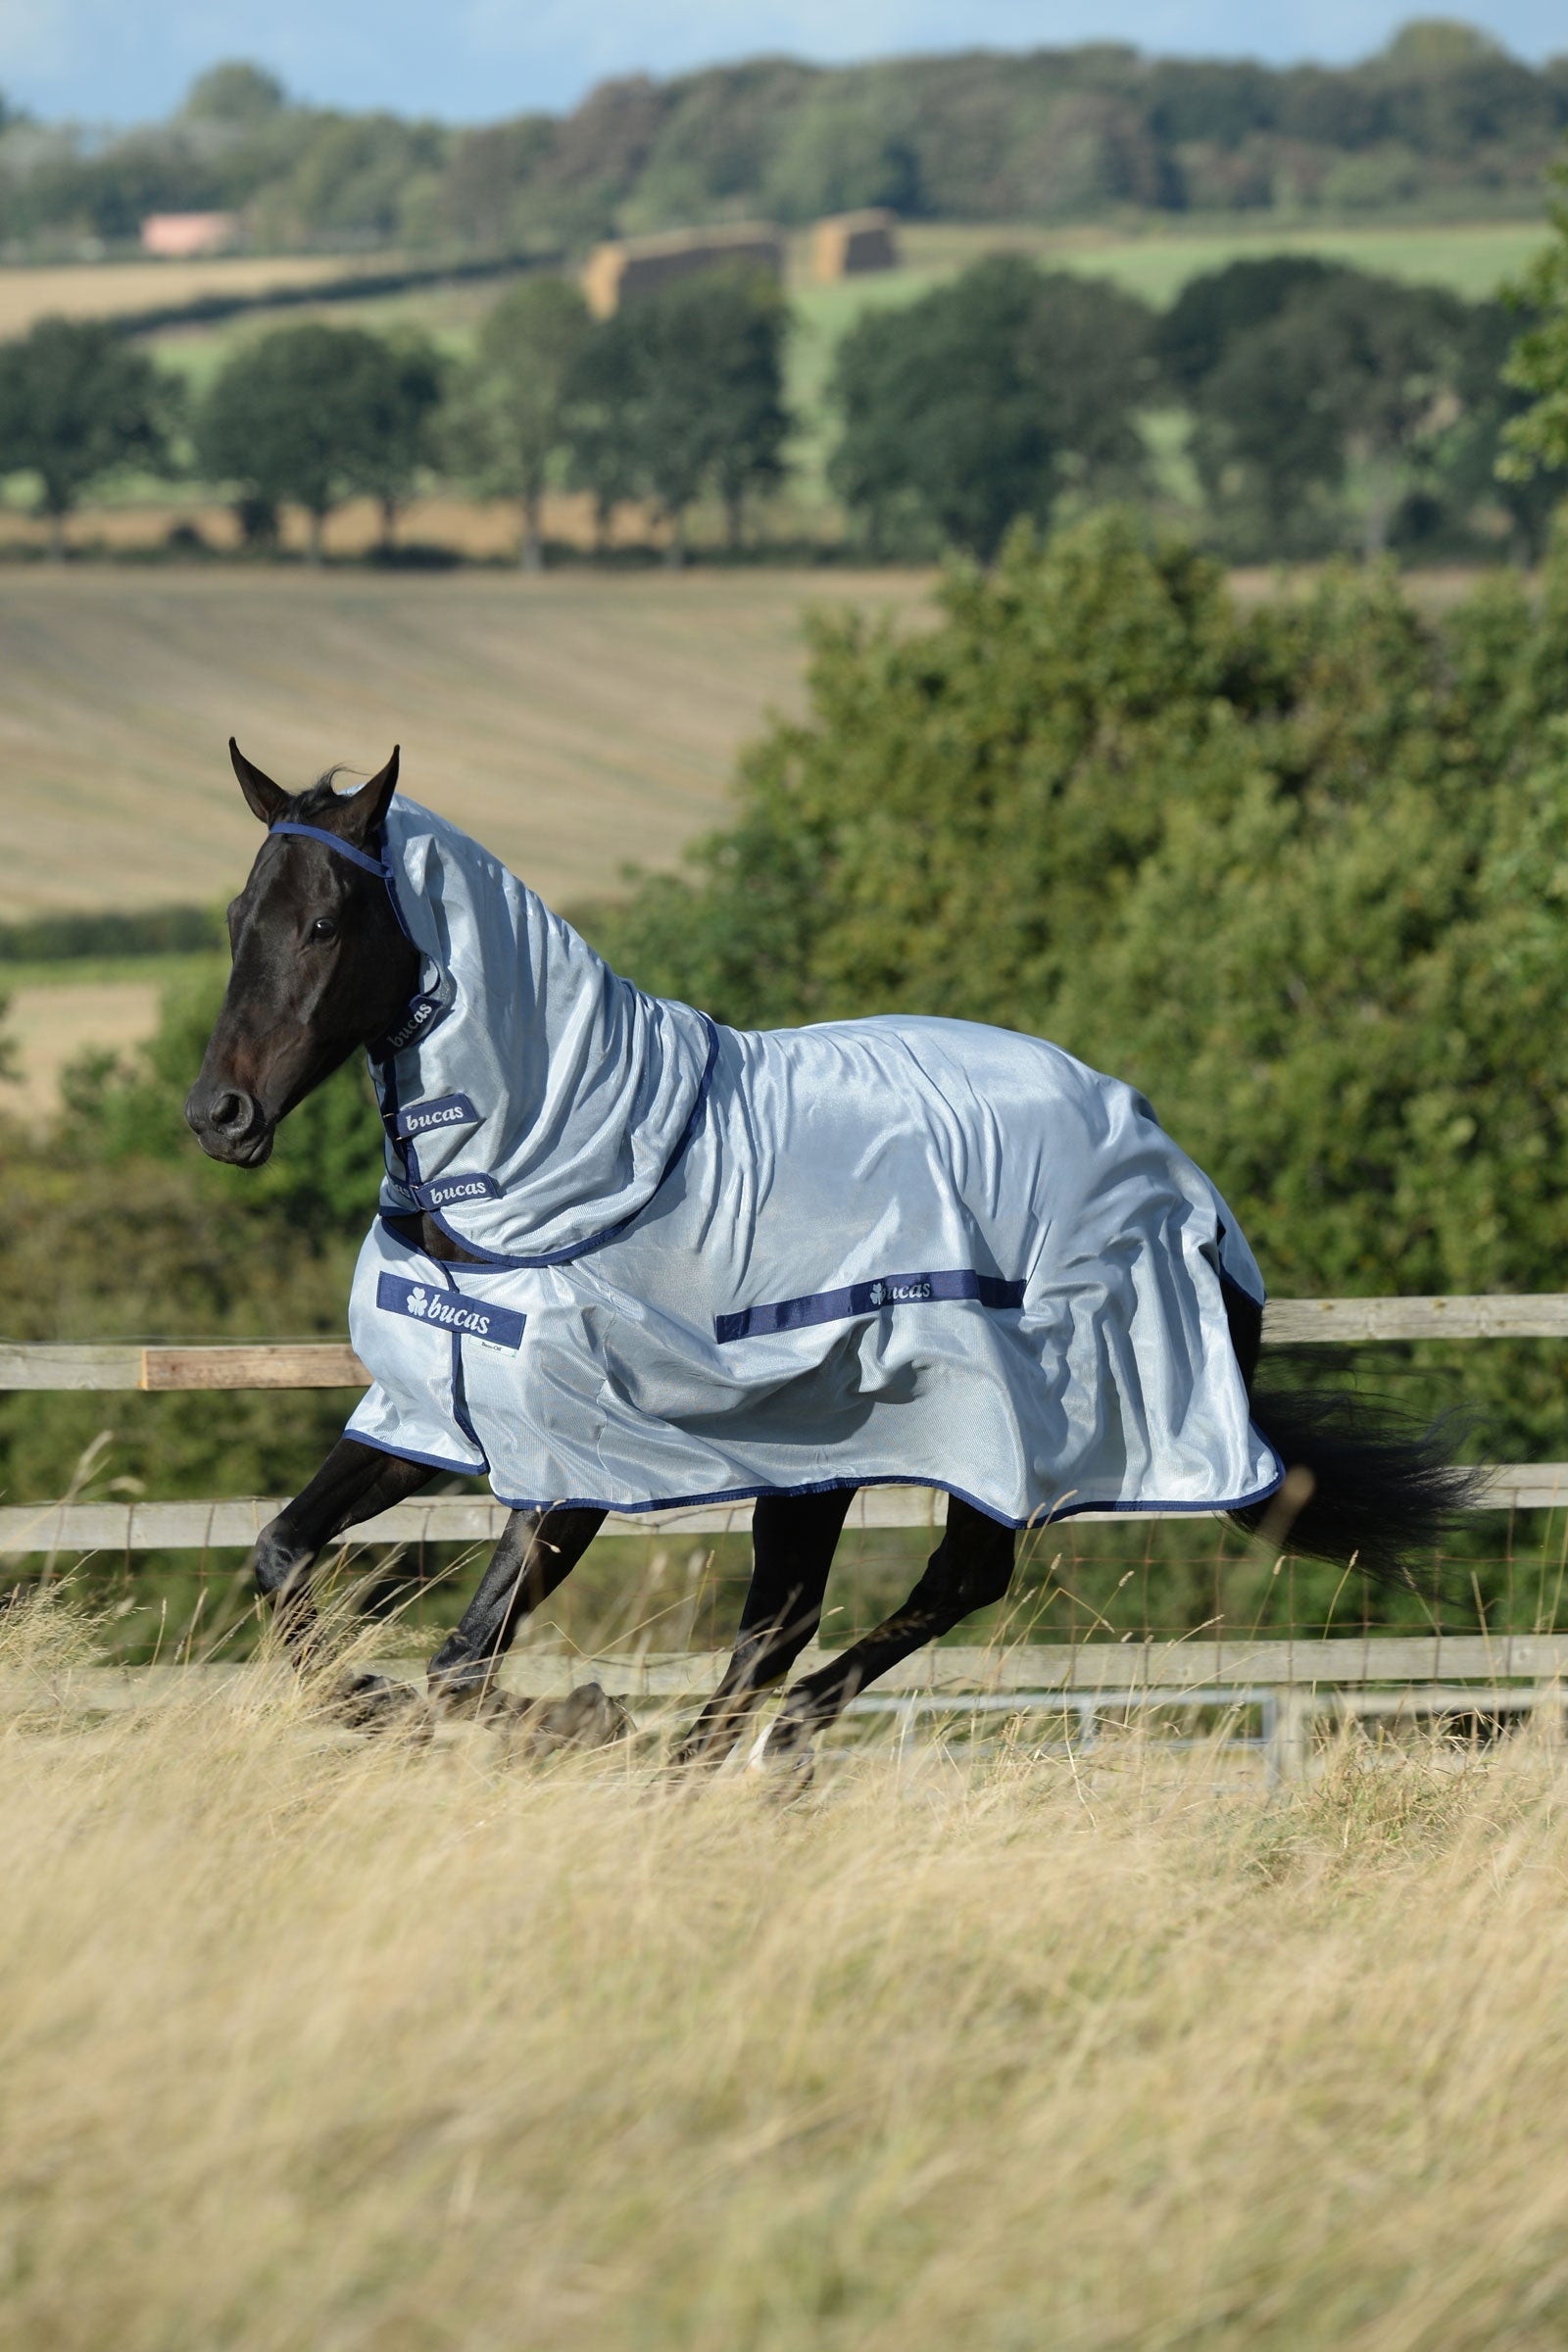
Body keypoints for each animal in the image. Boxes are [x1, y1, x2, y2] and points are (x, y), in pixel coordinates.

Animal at [186, 743, 1472, 1772]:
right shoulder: (434, 1417)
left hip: (985, 1434)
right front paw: (374, 1692)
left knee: (942, 1586)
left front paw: (577, 1716)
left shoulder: (579, 1461)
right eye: (238, 921)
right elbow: (283, 1558)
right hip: (814, 1454)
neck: (544, 1179)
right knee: (785, 1618)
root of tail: (1186, 1185)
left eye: (325, 924)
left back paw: (752, 1746)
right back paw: (714, 1760)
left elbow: (460, 1660)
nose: (219, 1116)